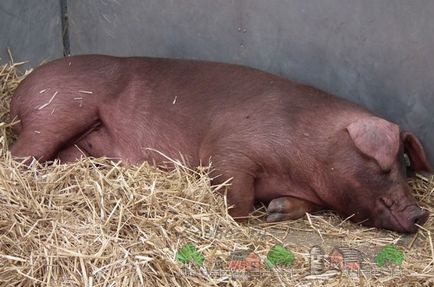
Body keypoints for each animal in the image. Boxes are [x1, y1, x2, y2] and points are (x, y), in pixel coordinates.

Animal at [9, 54, 430, 234]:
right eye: (386, 166)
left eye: (406, 166)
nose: (421, 215)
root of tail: (19, 90)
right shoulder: (230, 149)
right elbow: (237, 195)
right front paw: (244, 218)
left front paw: (275, 211)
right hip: (59, 109)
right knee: (21, 155)